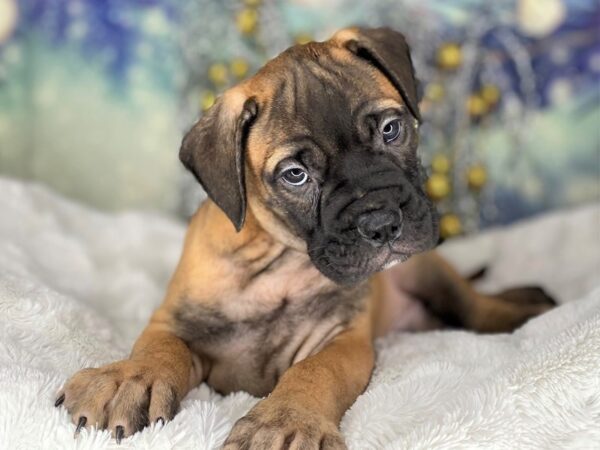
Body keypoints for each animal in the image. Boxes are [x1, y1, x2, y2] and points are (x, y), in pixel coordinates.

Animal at [56, 27, 552, 446]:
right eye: (295, 174)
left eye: (391, 129)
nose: (382, 224)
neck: (275, 260)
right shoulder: (175, 320)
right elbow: (157, 347)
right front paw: (129, 378)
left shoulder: (342, 339)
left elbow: (315, 372)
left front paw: (285, 421)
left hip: (432, 272)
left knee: (479, 307)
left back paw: (531, 307)